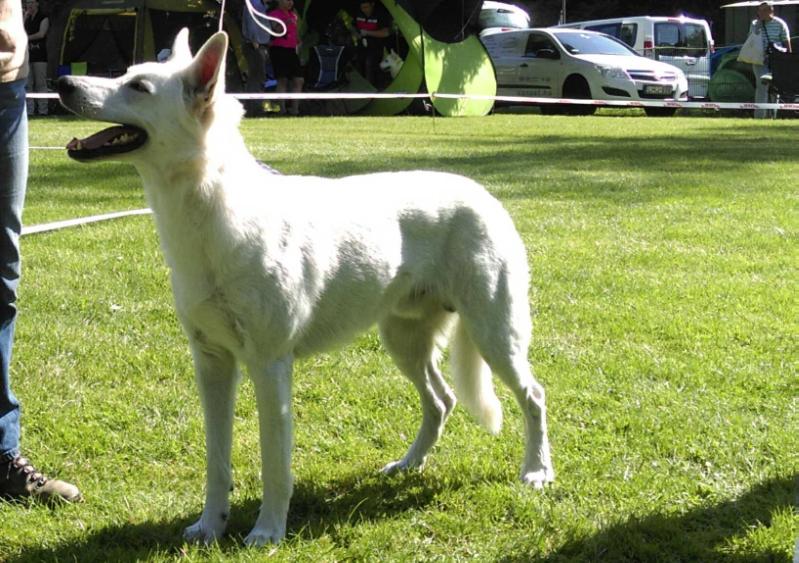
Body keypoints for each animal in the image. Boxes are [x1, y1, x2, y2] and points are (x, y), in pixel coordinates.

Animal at [57, 29, 556, 548]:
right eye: (125, 74)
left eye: (138, 87)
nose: (62, 83)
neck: (209, 216)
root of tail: (484, 195)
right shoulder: (212, 364)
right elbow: (217, 461)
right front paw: (210, 526)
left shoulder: (269, 366)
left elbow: (275, 463)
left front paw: (266, 533)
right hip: (403, 341)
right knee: (442, 401)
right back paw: (408, 464)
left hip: (493, 336)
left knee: (533, 396)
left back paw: (536, 472)